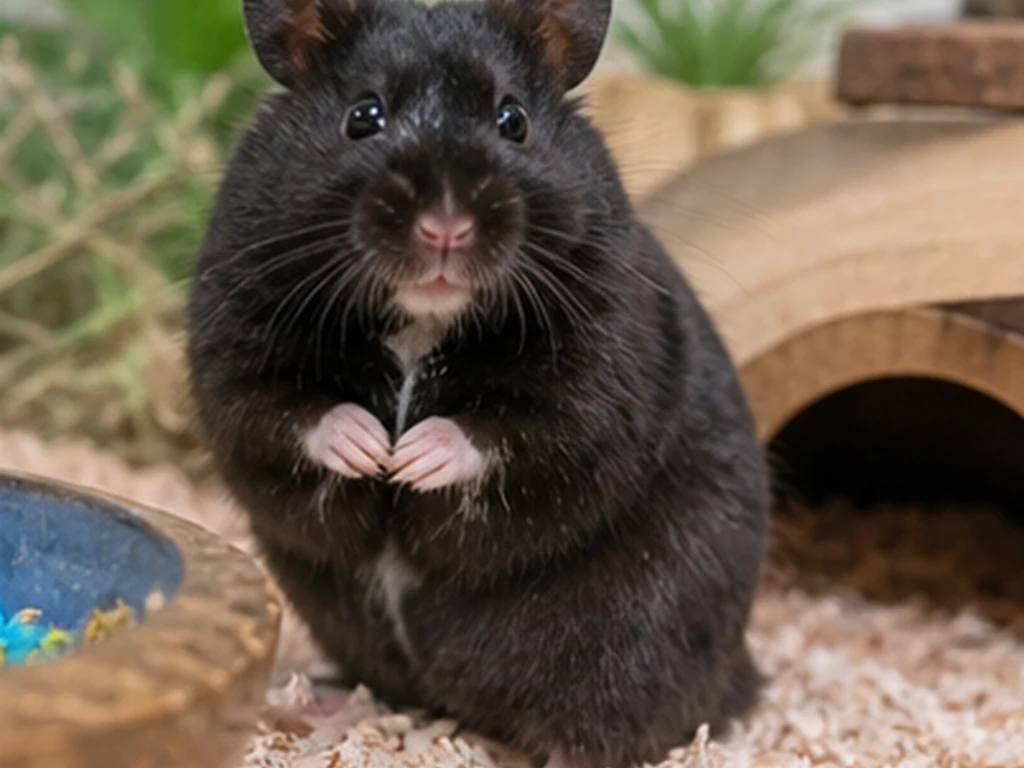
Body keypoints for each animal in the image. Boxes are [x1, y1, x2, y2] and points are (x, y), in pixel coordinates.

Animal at [185, 0, 770, 766]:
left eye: (512, 120)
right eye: (363, 117)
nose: (445, 227)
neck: (423, 317)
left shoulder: (598, 378)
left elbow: (513, 434)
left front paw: (408, 461)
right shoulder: (233, 336)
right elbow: (282, 411)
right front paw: (373, 451)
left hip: (634, 637)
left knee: (603, 724)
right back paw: (310, 703)